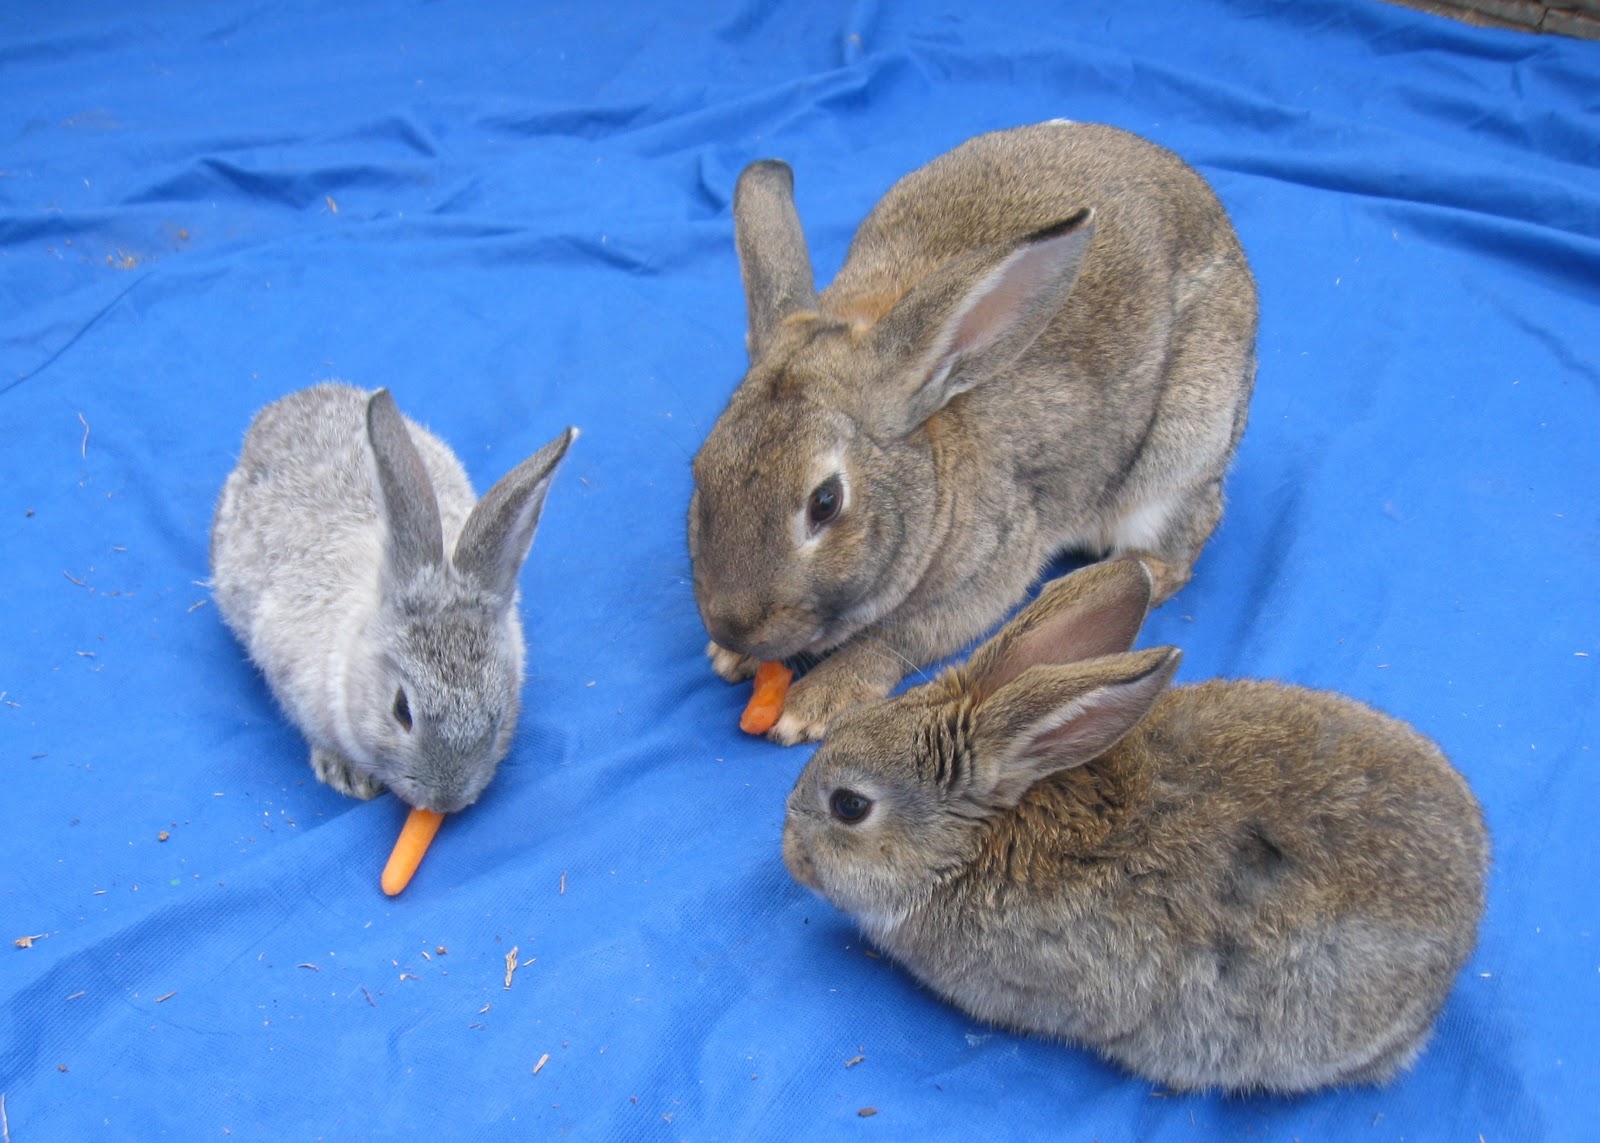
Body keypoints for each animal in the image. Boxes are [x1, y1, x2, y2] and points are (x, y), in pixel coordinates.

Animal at [689, 121, 1258, 744]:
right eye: (701, 471)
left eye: (825, 502)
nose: (734, 628)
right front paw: (732, 660)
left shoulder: (987, 572)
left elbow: (897, 639)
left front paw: (813, 703)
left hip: (1181, 454)